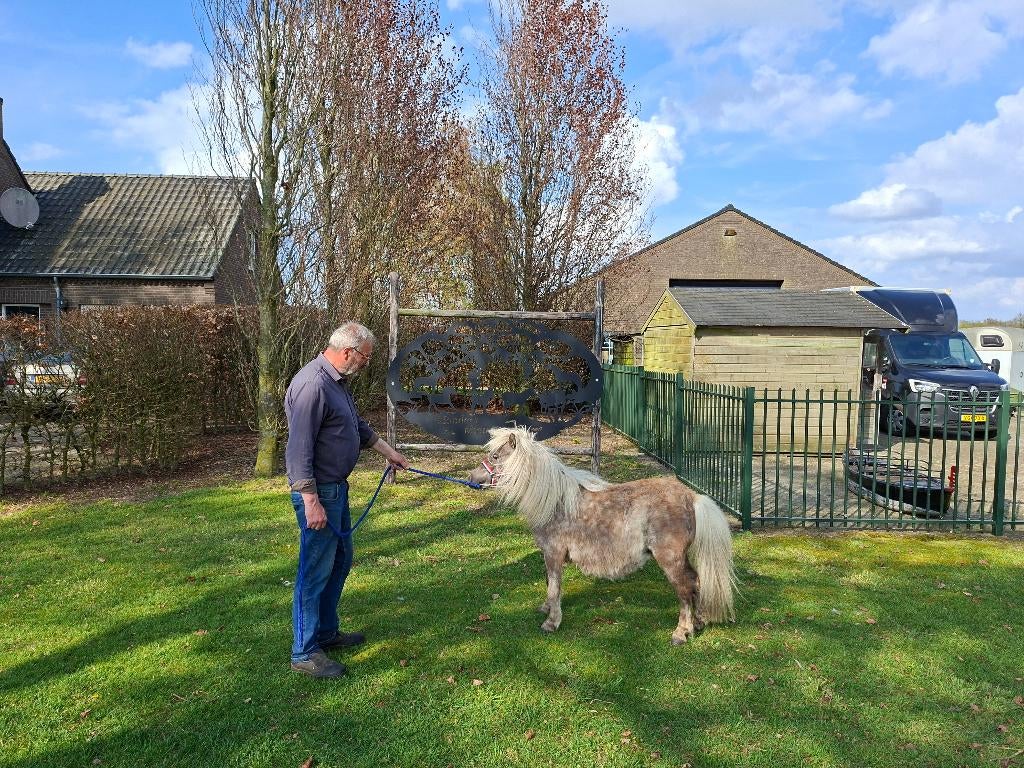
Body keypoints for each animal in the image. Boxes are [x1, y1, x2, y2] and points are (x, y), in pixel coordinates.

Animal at [468, 426, 737, 644]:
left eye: (495, 456)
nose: (472, 477)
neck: (555, 503)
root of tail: (691, 497)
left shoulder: (553, 554)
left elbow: (554, 586)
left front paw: (551, 622)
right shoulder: (549, 555)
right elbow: (548, 584)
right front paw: (546, 609)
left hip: (670, 559)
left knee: (684, 590)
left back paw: (682, 632)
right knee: (696, 581)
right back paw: (698, 622)